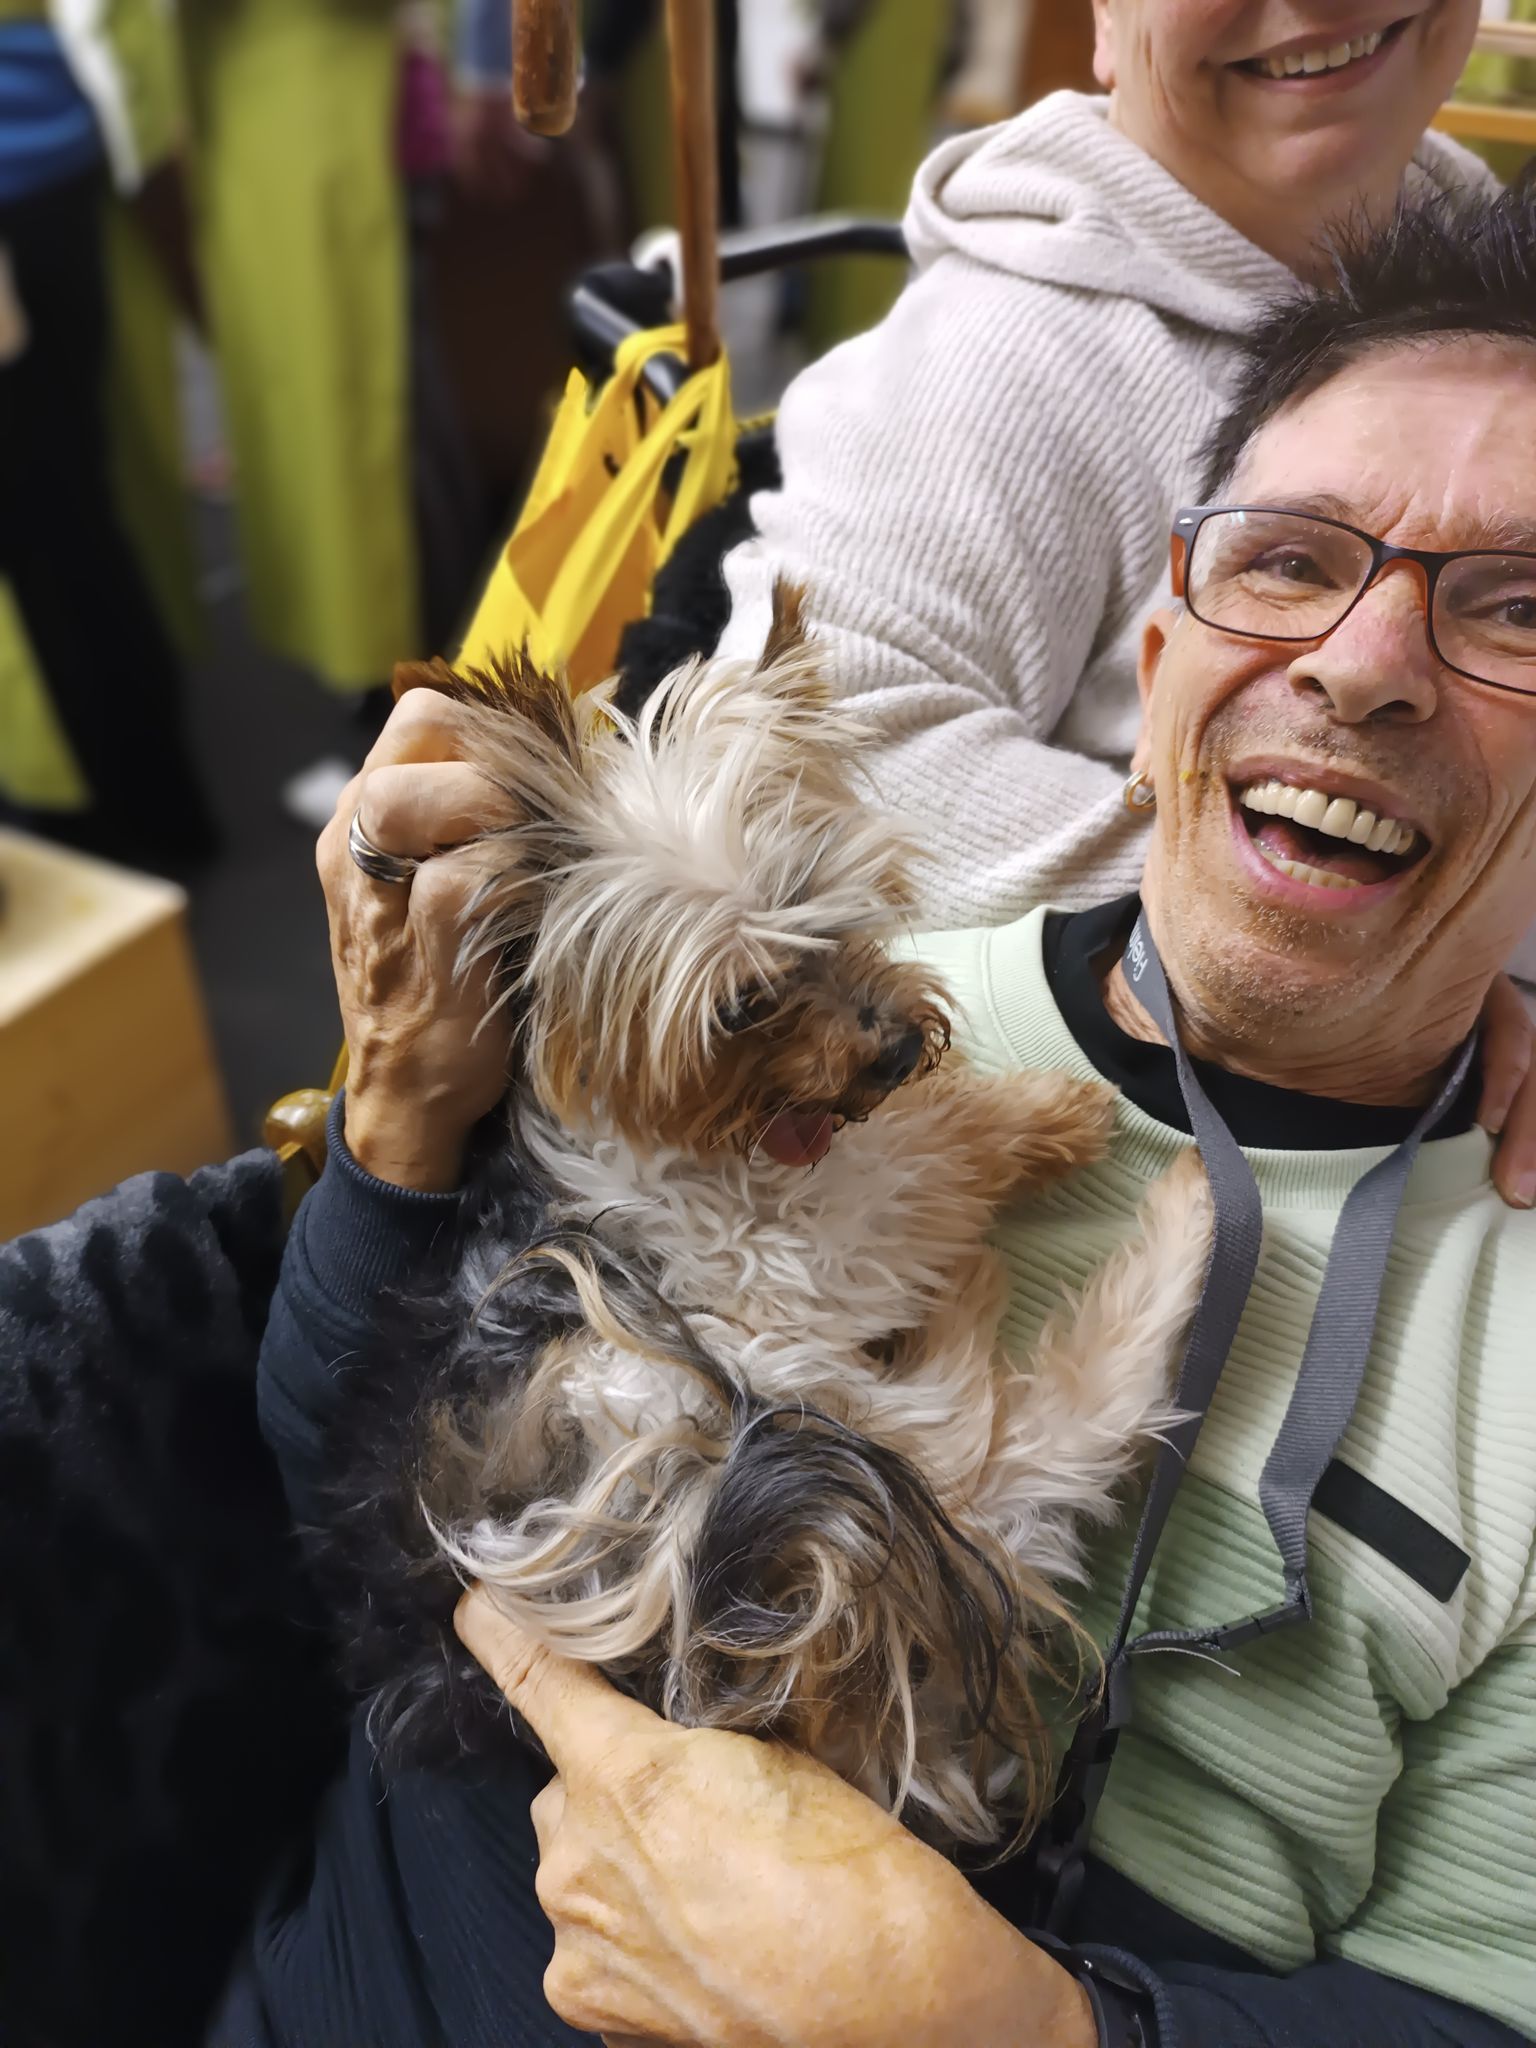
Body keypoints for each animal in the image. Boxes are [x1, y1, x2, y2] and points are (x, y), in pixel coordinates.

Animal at [326, 589, 1211, 1856]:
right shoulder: (796, 1248)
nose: (893, 1045)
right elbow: (928, 1153)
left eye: (847, 917)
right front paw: (1056, 1113)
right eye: (744, 1003)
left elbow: (919, 1129)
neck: (745, 1137)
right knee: (1025, 1421)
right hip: (807, 1461)